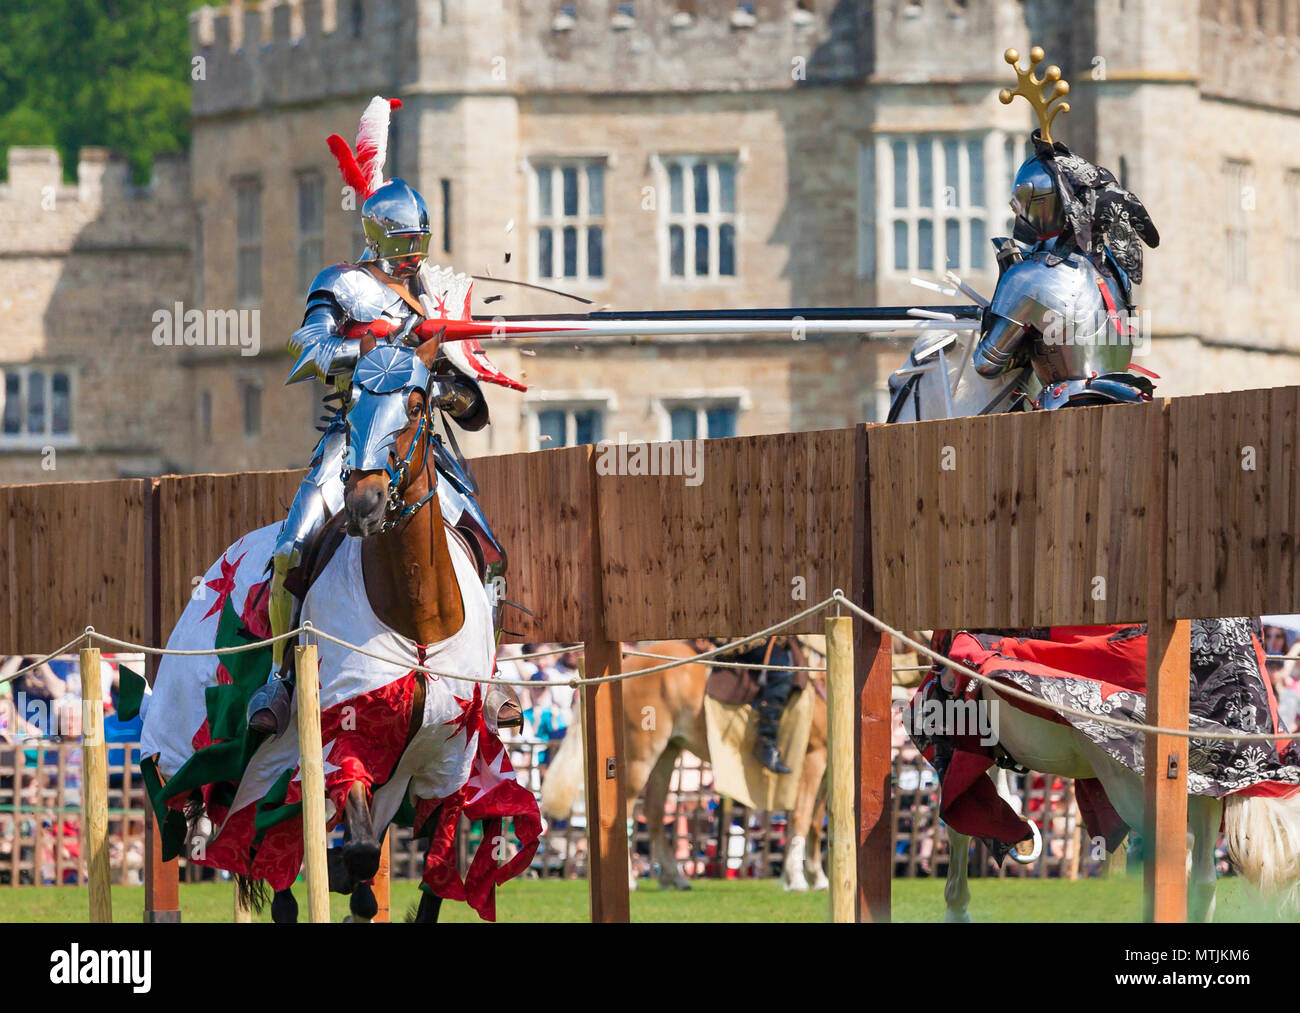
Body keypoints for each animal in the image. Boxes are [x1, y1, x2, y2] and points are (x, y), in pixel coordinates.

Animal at [540, 644, 826, 889]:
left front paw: (818, 877)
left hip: (668, 752)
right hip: (640, 756)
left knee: (654, 810)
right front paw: (796, 878)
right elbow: (802, 817)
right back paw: (631, 879)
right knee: (627, 809)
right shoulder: (813, 758)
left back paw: (672, 876)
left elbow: (816, 822)